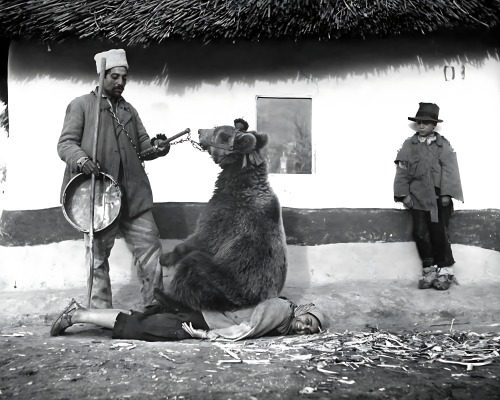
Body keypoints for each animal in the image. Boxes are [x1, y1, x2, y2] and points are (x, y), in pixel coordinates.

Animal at [158, 123, 288, 310]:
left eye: (216, 129)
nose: (199, 131)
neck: (238, 181)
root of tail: (253, 301)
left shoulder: (225, 216)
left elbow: (201, 238)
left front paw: (165, 257)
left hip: (225, 280)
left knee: (191, 268)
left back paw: (167, 298)